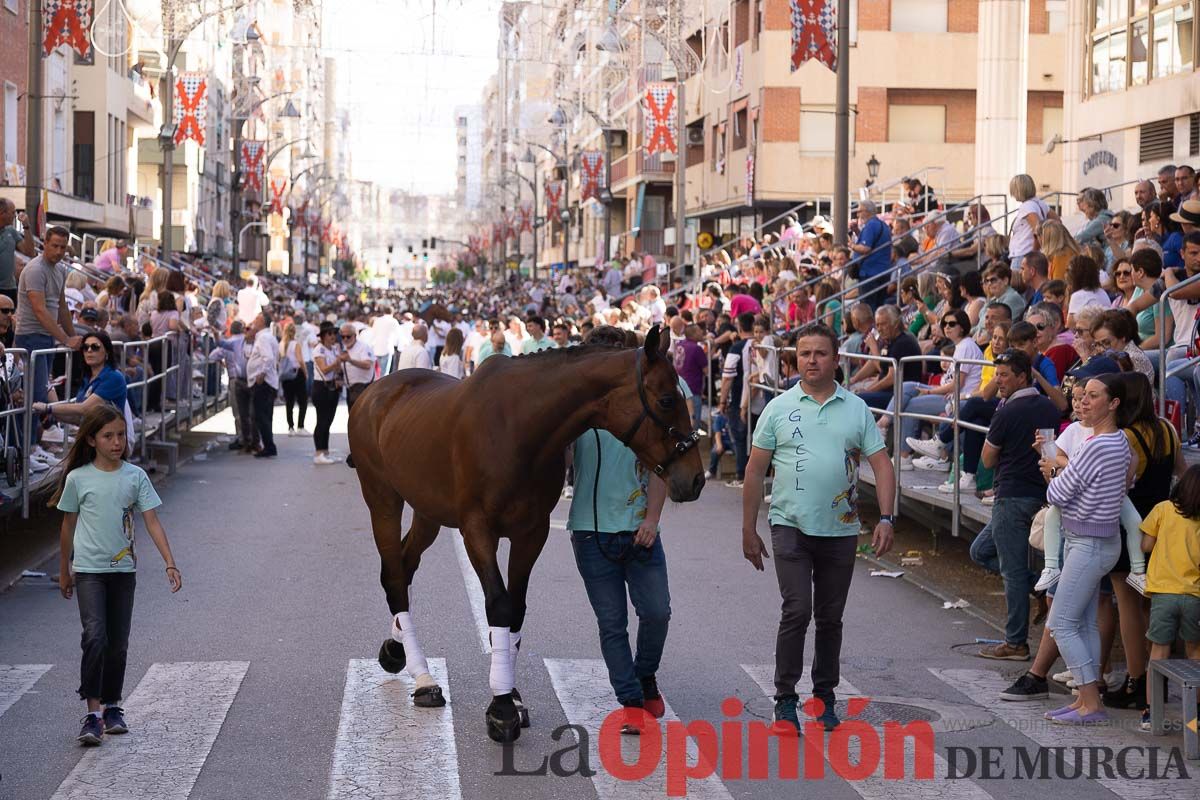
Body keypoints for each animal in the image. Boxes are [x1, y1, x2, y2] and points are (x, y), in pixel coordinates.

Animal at [348, 326, 700, 743]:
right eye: (666, 399)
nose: (695, 478)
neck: (518, 426)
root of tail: (374, 391)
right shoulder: (477, 529)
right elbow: (499, 604)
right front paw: (501, 708)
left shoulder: (532, 531)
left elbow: (516, 609)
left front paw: (510, 695)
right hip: (383, 498)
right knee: (394, 573)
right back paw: (423, 677)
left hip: (427, 510)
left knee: (405, 564)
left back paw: (396, 647)